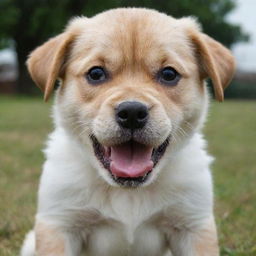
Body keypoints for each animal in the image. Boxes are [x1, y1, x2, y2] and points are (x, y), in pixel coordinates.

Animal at [21, 8, 235, 256]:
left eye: (169, 74)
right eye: (96, 73)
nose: (132, 112)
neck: (128, 191)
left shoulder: (192, 225)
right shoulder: (60, 223)